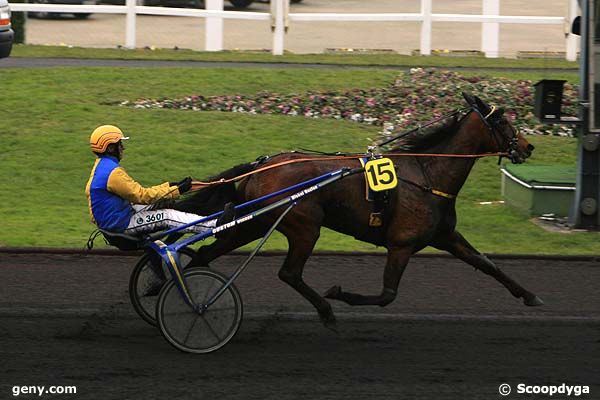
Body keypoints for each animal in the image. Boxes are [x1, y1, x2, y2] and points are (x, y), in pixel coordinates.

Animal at [172, 93, 540, 328]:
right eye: (503, 121)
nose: (528, 146)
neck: (427, 174)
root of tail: (260, 166)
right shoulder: (402, 244)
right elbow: (387, 295)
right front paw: (340, 294)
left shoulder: (445, 235)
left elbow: (487, 264)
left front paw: (529, 296)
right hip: (305, 226)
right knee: (289, 273)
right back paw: (325, 310)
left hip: (257, 223)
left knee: (205, 253)